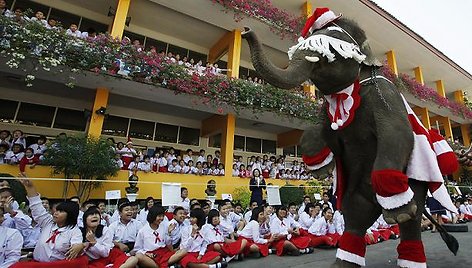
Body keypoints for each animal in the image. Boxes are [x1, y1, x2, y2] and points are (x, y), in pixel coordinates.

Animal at [242, 7, 460, 266]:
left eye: (329, 50)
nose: (245, 30)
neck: (353, 86)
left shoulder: (386, 95)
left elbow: (398, 133)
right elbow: (322, 133)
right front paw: (320, 167)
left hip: (414, 183)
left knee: (410, 218)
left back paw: (400, 219)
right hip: (358, 193)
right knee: (356, 217)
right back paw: (342, 262)